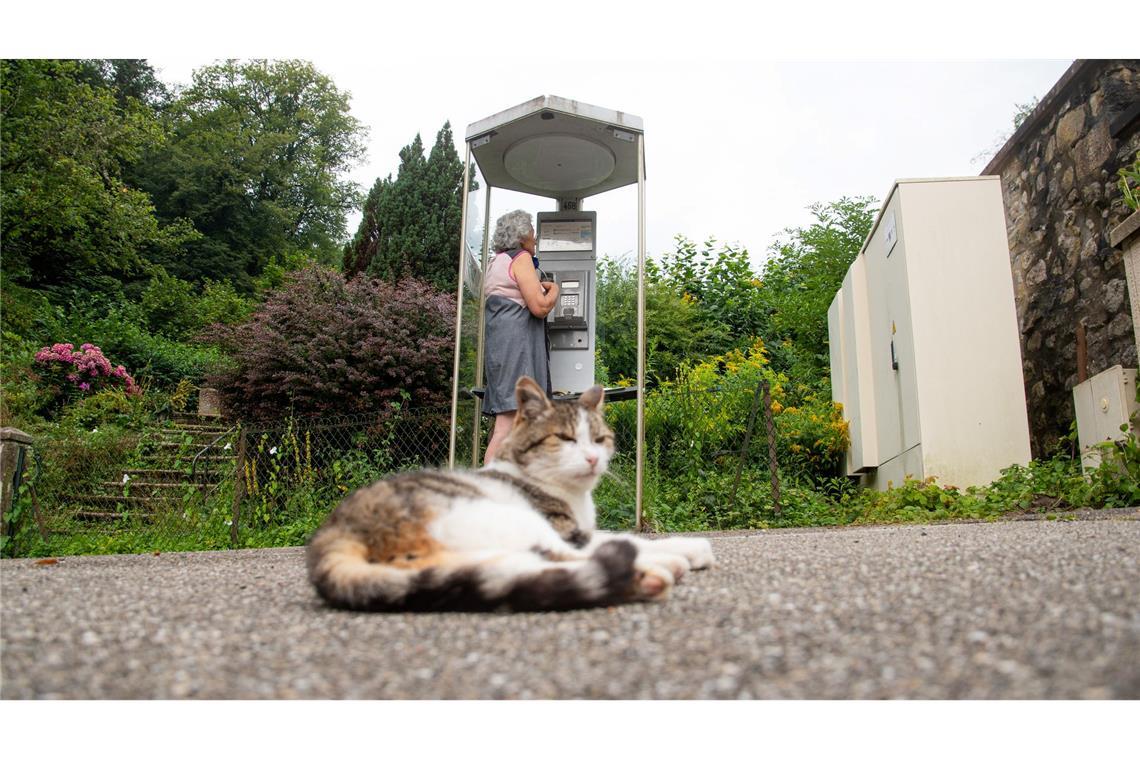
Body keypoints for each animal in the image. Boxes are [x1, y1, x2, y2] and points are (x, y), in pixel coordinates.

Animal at [305, 378, 711, 615]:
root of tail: (334, 532)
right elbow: (616, 540)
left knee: (514, 569)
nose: (594, 458)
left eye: (599, 439)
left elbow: (620, 535)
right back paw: (656, 569)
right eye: (564, 438)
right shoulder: (566, 529)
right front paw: (679, 550)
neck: (573, 496)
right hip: (501, 516)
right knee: (563, 557)